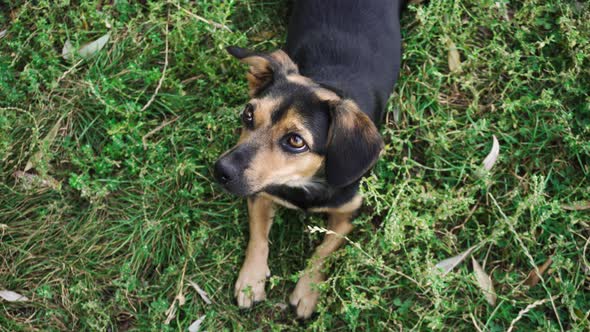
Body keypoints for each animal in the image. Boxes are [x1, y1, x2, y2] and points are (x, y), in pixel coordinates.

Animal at [215, 0, 404, 320]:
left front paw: (308, 290)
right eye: (249, 114)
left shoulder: (349, 213)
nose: (221, 170)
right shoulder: (260, 193)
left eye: (295, 141)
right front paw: (251, 280)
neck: (304, 184)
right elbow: (258, 236)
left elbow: (324, 250)